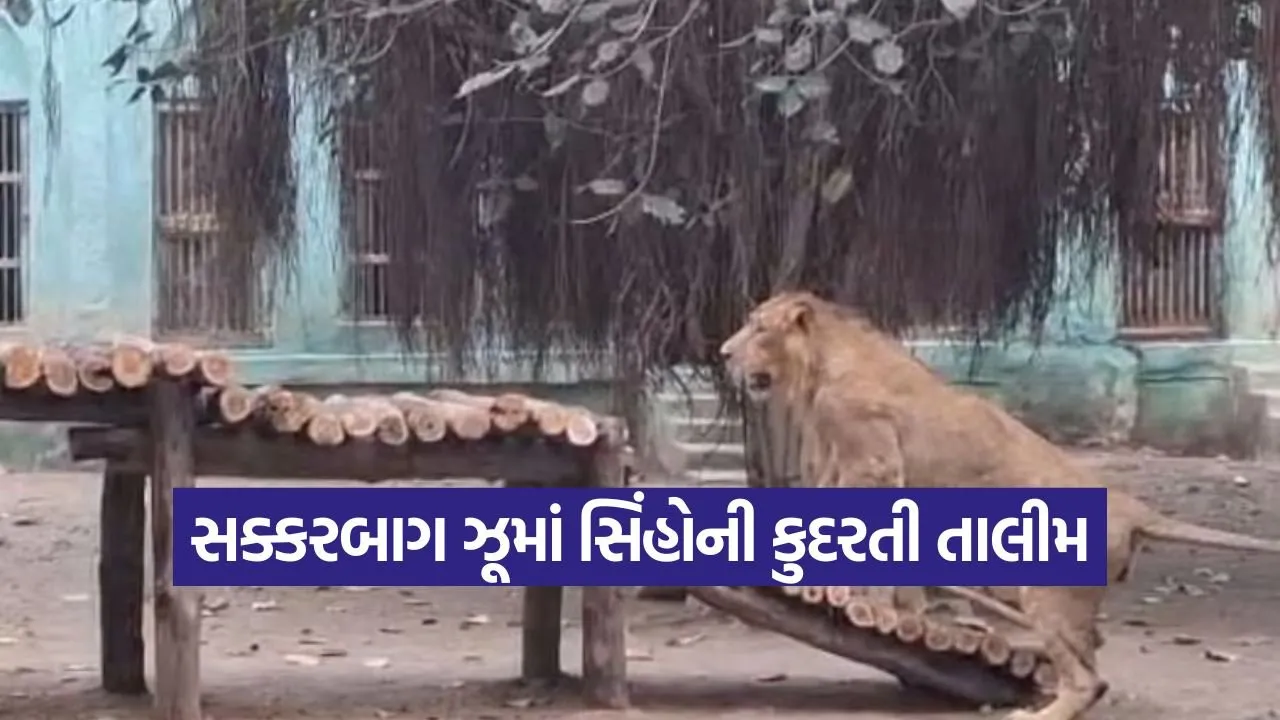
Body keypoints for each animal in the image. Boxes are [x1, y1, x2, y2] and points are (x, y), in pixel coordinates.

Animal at [718, 289, 1280, 720]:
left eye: (758, 328)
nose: (723, 353)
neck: (818, 367)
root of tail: (1131, 508)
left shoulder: (872, 464)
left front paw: (865, 600)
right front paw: (906, 613)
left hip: (1048, 594)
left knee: (1088, 678)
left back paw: (1037, 714)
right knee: (1092, 654)